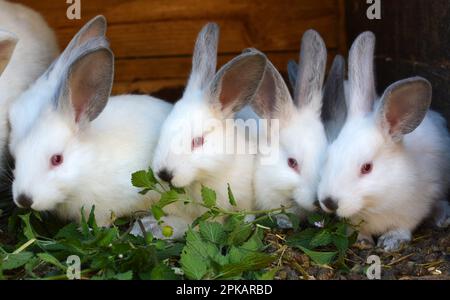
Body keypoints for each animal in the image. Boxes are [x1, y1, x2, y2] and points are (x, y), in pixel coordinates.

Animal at [316, 31, 450, 251]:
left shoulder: (413, 209)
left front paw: (391, 241)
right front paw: (362, 241)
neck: (373, 204)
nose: (329, 202)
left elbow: (403, 227)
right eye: (328, 157)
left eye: (367, 168)